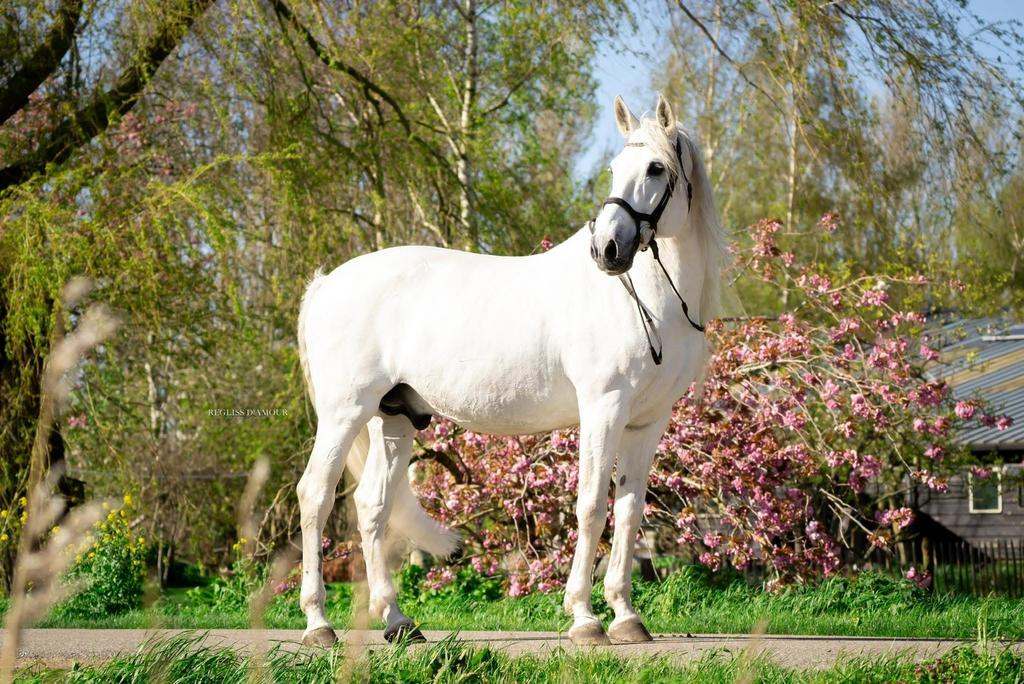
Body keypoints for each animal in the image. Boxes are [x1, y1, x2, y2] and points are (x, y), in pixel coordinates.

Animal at [295, 94, 725, 647]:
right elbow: (591, 506)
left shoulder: (648, 422)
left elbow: (630, 513)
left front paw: (626, 617)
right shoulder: (603, 408)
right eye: (614, 169)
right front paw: (584, 618)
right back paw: (318, 624)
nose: (607, 249)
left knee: (373, 506)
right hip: (343, 413)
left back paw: (397, 622)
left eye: (655, 167)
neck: (647, 297)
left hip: (391, 418)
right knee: (315, 496)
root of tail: (326, 283)